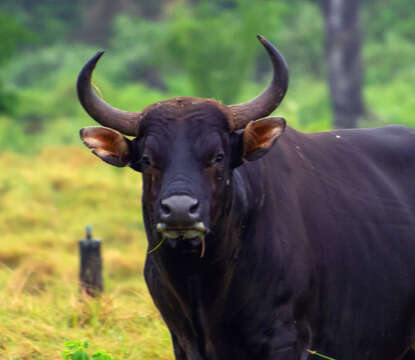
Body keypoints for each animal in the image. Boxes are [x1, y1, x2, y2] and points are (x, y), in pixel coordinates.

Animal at [76, 35, 415, 358]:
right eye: (147, 159)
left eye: (218, 156)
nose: (180, 211)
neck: (201, 282)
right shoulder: (182, 341)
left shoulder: (287, 340)